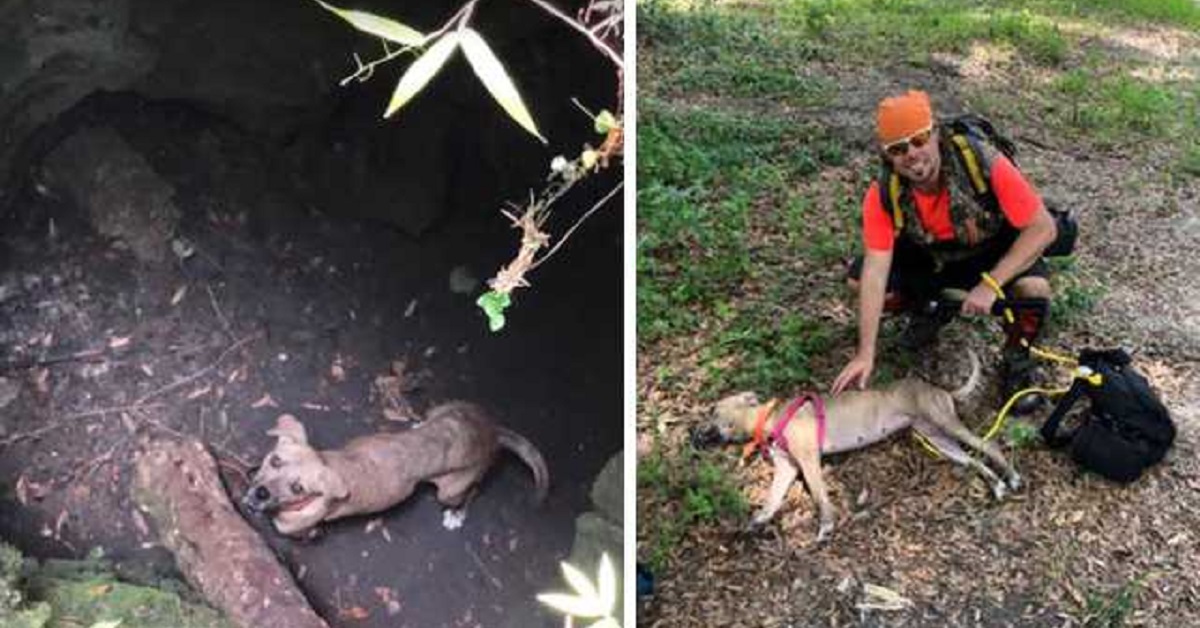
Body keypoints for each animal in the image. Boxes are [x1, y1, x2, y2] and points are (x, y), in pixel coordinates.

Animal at [244, 403, 552, 535]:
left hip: (450, 490)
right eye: (275, 460)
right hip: (442, 409)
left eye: (298, 488)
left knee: (473, 491)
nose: (260, 493)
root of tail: (491, 431)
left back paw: (456, 515)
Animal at [691, 350, 1017, 542]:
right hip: (935, 436)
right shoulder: (787, 467)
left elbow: (820, 495)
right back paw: (996, 485)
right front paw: (757, 521)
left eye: (712, 410)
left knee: (990, 446)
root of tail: (937, 387)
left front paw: (826, 525)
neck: (769, 417)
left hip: (944, 422)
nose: (691, 432)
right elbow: (772, 499)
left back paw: (1011, 477)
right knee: (973, 460)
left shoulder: (808, 460)